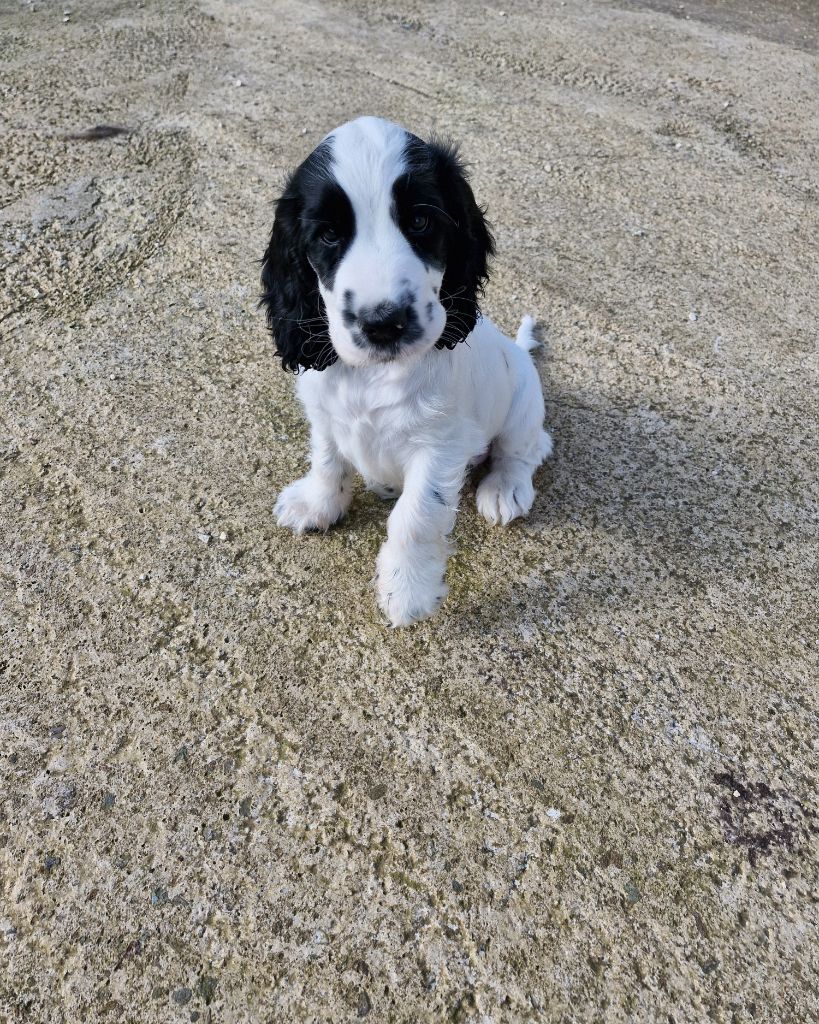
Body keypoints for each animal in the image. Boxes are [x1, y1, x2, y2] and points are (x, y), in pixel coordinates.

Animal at [261, 116, 552, 626]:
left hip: (522, 404)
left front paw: (407, 590)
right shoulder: (324, 412)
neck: (375, 374)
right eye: (329, 235)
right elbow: (328, 460)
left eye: (420, 221)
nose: (383, 322)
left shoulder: (439, 446)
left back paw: (505, 488)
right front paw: (318, 504)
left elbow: (416, 516)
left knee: (527, 449)